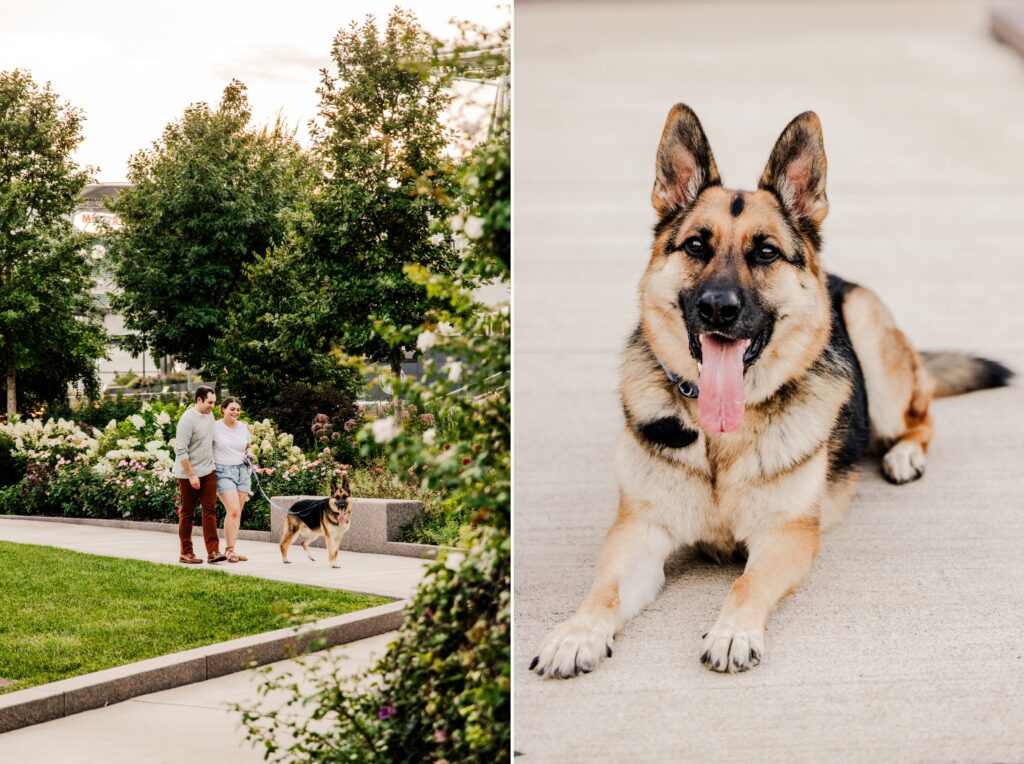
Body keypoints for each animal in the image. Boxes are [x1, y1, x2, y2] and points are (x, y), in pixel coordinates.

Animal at [532, 103, 1011, 675]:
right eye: (697, 246)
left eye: (764, 253)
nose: (718, 308)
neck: (720, 438)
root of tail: (837, 279)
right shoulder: (638, 533)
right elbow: (602, 589)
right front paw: (576, 632)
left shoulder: (786, 536)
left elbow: (747, 583)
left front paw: (733, 632)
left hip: (872, 343)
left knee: (921, 417)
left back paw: (904, 456)